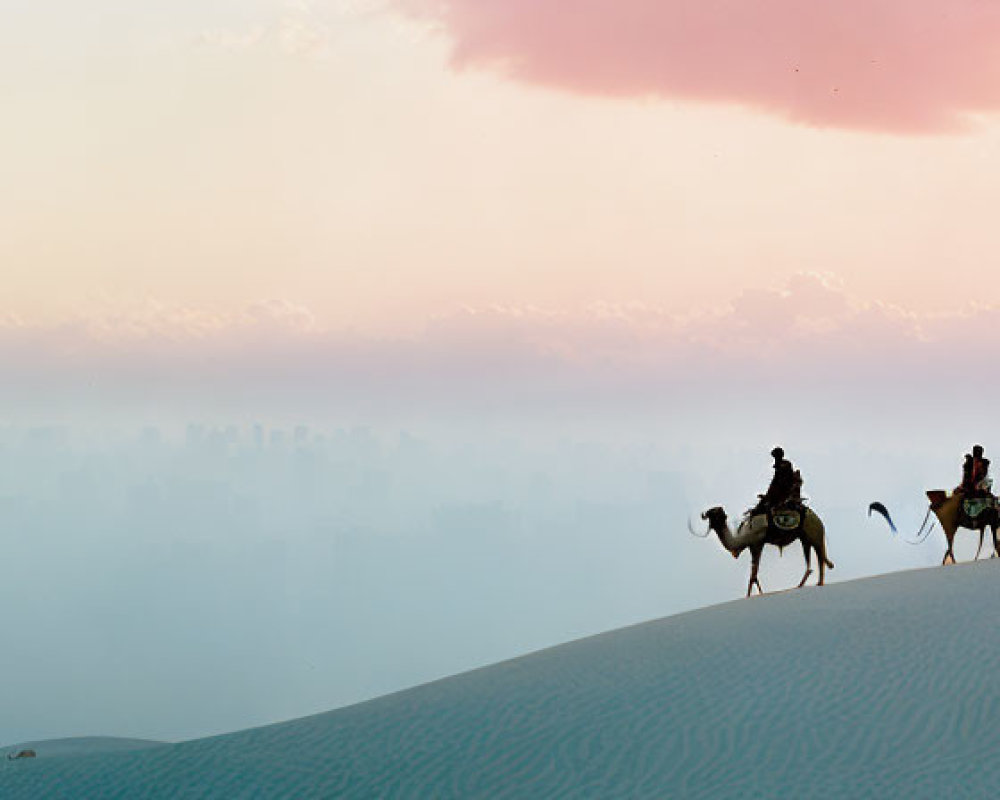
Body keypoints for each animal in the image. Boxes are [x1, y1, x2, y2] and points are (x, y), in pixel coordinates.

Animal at [696, 504, 836, 596]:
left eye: (715, 512)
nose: (706, 513)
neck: (742, 538)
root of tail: (818, 520)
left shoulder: (757, 543)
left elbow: (753, 575)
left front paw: (751, 595)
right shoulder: (753, 546)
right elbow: (753, 575)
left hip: (814, 535)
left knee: (820, 557)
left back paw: (814, 583)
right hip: (805, 538)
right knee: (815, 561)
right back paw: (812, 583)